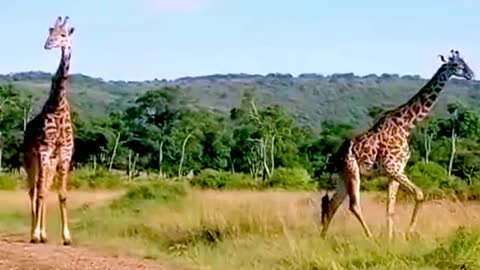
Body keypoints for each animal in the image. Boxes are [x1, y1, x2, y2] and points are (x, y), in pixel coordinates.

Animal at [320, 50, 474, 238]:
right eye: (457, 65)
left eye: (465, 62)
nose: (471, 74)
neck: (406, 126)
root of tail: (335, 156)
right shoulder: (392, 168)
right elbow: (419, 194)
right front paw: (408, 234)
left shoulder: (396, 171)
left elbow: (390, 208)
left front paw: (391, 239)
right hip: (352, 171)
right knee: (353, 205)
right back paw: (370, 238)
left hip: (344, 176)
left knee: (332, 204)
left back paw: (322, 237)